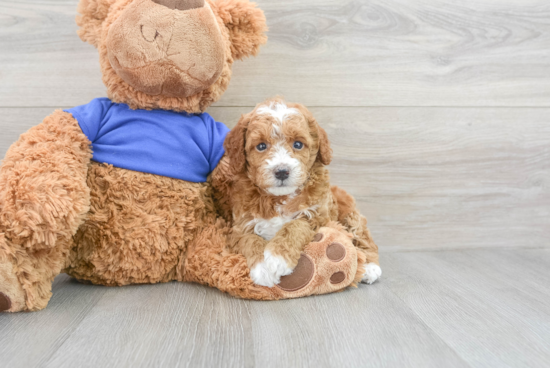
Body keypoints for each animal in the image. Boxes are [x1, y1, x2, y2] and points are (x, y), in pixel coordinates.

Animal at [218, 98, 382, 288]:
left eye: (298, 144)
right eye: (261, 146)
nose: (282, 171)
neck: (279, 198)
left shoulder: (317, 217)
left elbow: (295, 226)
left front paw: (277, 258)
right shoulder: (240, 225)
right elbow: (249, 239)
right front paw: (263, 268)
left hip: (350, 214)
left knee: (363, 235)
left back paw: (370, 267)